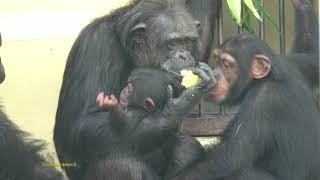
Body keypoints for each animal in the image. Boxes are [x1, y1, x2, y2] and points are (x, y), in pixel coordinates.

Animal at [169, 32, 320, 180]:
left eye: (226, 65)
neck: (262, 79)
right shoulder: (295, 63)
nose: (215, 73)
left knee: (243, 174)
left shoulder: (264, 100)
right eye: (217, 60)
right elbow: (311, 56)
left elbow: (230, 154)